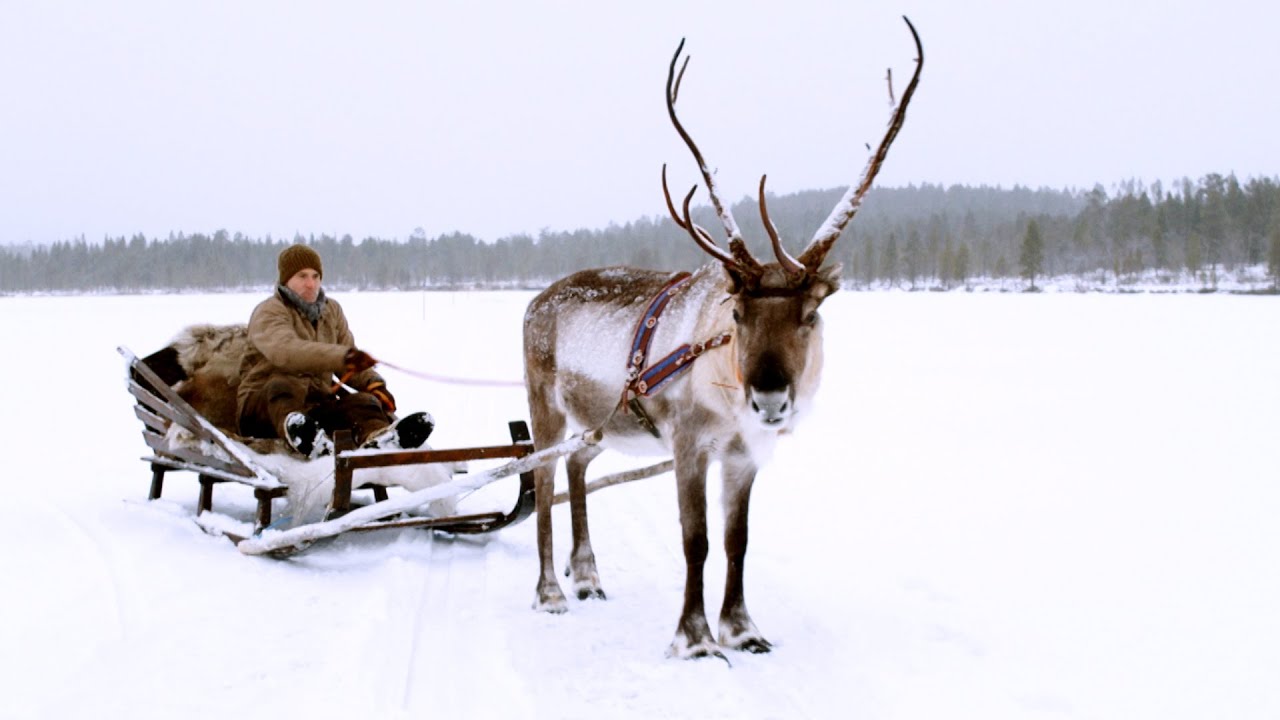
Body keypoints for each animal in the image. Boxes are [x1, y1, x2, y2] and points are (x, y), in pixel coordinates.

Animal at [521, 17, 923, 660]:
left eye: (812, 313)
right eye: (736, 311)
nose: (770, 399)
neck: (727, 389)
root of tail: (534, 301)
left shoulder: (744, 454)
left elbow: (738, 540)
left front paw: (743, 628)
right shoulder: (689, 444)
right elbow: (697, 541)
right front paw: (695, 638)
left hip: (599, 422)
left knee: (578, 467)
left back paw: (587, 576)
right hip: (545, 406)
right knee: (541, 480)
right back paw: (551, 592)